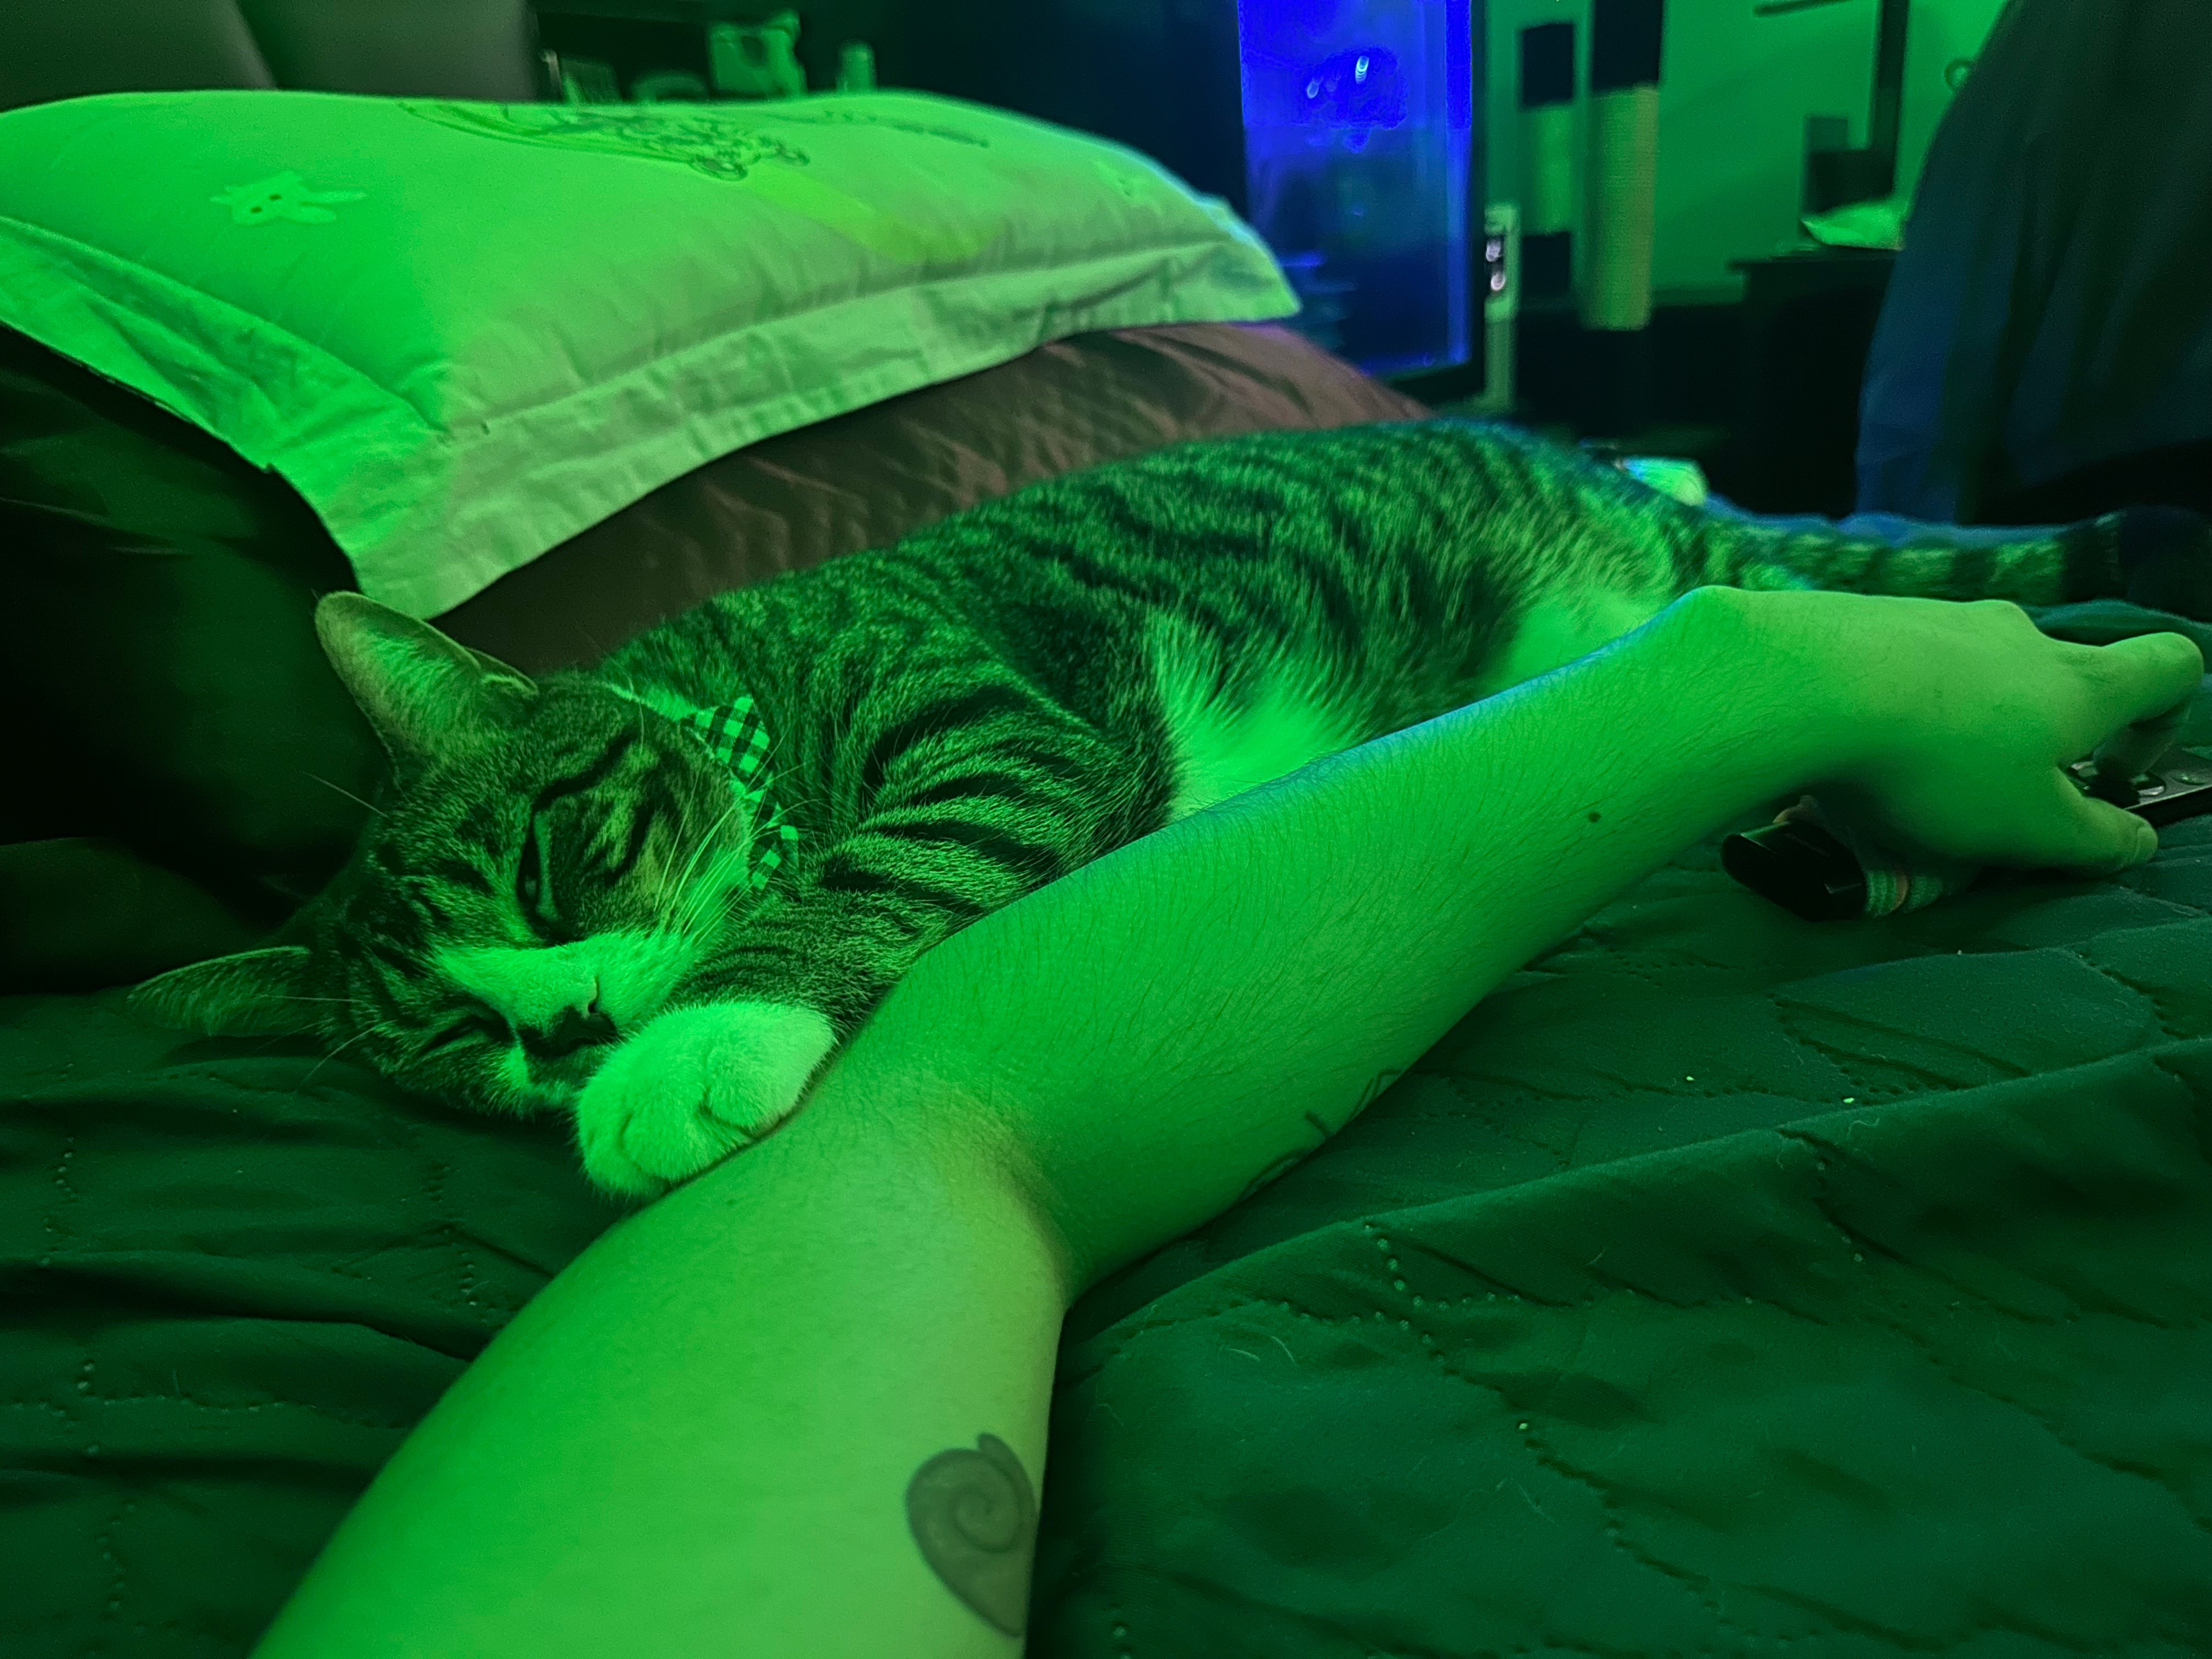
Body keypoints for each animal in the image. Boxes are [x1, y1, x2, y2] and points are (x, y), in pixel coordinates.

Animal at [128, 419, 2210, 1201]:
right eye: (457, 1046)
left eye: (555, 875)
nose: (562, 1026)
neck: (756, 674)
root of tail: (1581, 461)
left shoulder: (992, 720)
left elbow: (882, 861)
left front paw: (697, 1043)